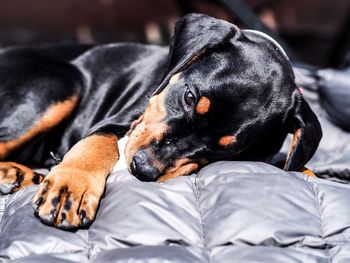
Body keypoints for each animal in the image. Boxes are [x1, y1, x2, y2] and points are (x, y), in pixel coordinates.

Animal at [0, 13, 322, 230]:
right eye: (189, 97)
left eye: (228, 150)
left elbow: (290, 164)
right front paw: (71, 188)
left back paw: (19, 173)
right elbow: (100, 143)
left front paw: (310, 174)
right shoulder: (117, 121)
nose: (142, 169)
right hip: (61, 81)